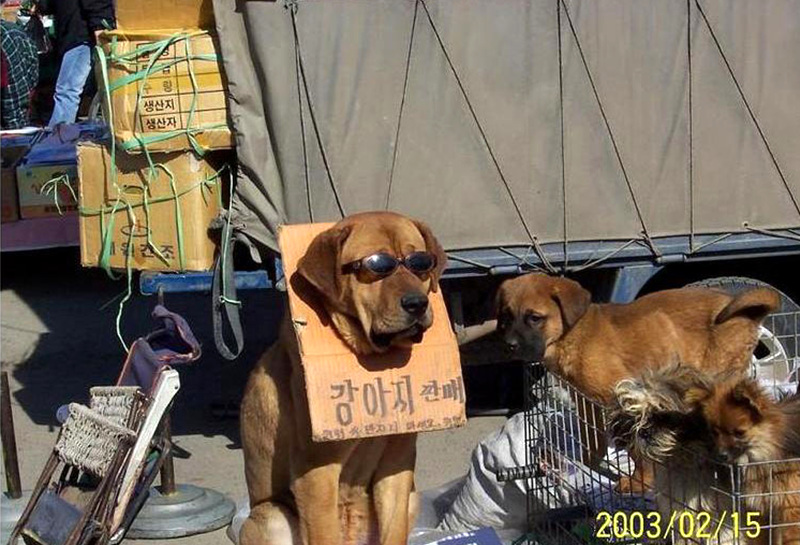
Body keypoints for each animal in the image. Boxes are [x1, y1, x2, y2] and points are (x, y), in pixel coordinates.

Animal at [239, 212, 447, 545]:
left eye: (420, 263)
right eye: (376, 266)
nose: (417, 303)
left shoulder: (398, 464)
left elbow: (394, 528)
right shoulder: (315, 471)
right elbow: (323, 532)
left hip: (413, 498)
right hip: (273, 517)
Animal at [496, 273, 780, 491]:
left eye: (534, 318)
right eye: (506, 316)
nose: (508, 346)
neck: (573, 336)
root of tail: (745, 309)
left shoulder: (623, 400)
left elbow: (637, 448)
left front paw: (639, 483)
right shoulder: (587, 404)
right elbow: (593, 439)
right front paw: (587, 466)